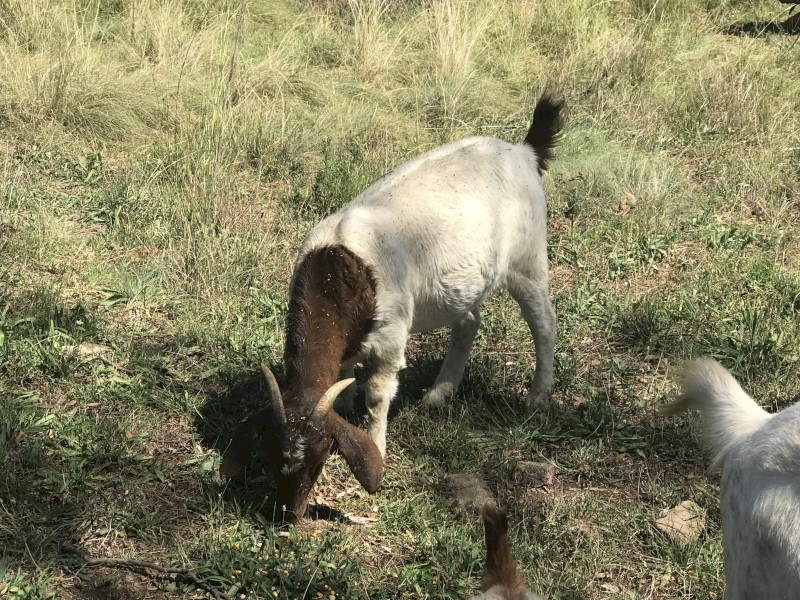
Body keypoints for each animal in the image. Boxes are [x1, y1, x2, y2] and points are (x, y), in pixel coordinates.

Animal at [220, 94, 563, 520]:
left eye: (317, 458)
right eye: (268, 454)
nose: (287, 513)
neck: (337, 272)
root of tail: (524, 151)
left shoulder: (389, 337)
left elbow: (378, 393)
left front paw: (377, 447)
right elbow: (345, 375)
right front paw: (346, 404)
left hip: (527, 258)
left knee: (544, 322)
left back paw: (537, 398)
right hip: (458, 283)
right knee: (468, 321)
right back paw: (438, 396)